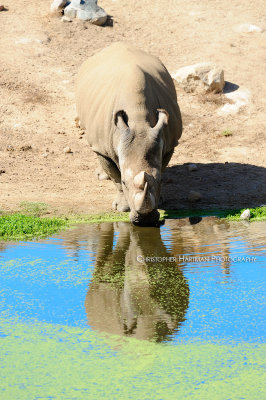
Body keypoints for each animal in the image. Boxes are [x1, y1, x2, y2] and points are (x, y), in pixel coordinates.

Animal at [76, 43, 182, 225]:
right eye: (126, 183)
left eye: (161, 181)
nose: (145, 220)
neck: (138, 120)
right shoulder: (104, 149)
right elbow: (116, 177)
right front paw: (122, 208)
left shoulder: (168, 143)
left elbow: (161, 167)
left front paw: (160, 201)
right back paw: (101, 176)